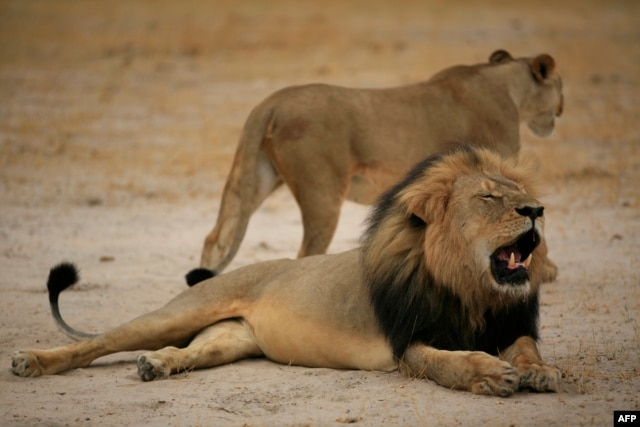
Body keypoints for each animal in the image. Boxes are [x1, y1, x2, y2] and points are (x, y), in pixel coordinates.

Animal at [11, 148, 560, 398]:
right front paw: (489, 374)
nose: (537, 210)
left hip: (230, 340)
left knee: (188, 351)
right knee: (98, 343)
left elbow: (526, 348)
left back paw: (157, 365)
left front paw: (539, 371)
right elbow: (449, 363)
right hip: (180, 311)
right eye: (489, 197)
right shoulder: (408, 343)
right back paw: (32, 361)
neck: (471, 289)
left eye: (519, 193)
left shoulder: (509, 323)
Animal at [191, 49, 564, 284]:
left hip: (254, 177)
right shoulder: (495, 170)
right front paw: (544, 270)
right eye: (560, 85)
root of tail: (271, 102)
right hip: (322, 193)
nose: (561, 110)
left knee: (215, 237)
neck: (507, 85)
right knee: (305, 253)